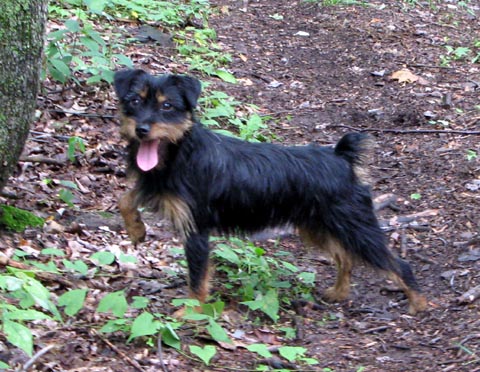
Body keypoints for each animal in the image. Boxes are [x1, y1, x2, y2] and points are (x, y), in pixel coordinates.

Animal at [113, 69, 428, 314]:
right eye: (134, 101)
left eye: (167, 106)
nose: (142, 129)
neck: (179, 150)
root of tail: (342, 157)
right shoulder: (155, 187)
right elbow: (125, 199)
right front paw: (136, 229)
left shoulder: (197, 231)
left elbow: (197, 277)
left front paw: (191, 313)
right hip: (317, 227)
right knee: (344, 257)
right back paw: (339, 293)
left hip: (356, 228)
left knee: (398, 264)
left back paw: (419, 304)